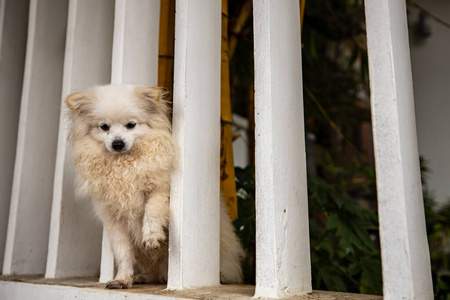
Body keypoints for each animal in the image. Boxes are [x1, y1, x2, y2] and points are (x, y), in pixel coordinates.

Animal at [65, 84, 244, 288]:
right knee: (156, 274)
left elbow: (151, 211)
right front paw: (122, 278)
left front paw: (151, 236)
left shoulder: (160, 192)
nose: (118, 143)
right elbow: (123, 251)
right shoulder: (113, 219)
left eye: (131, 125)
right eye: (104, 127)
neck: (124, 164)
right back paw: (141, 277)